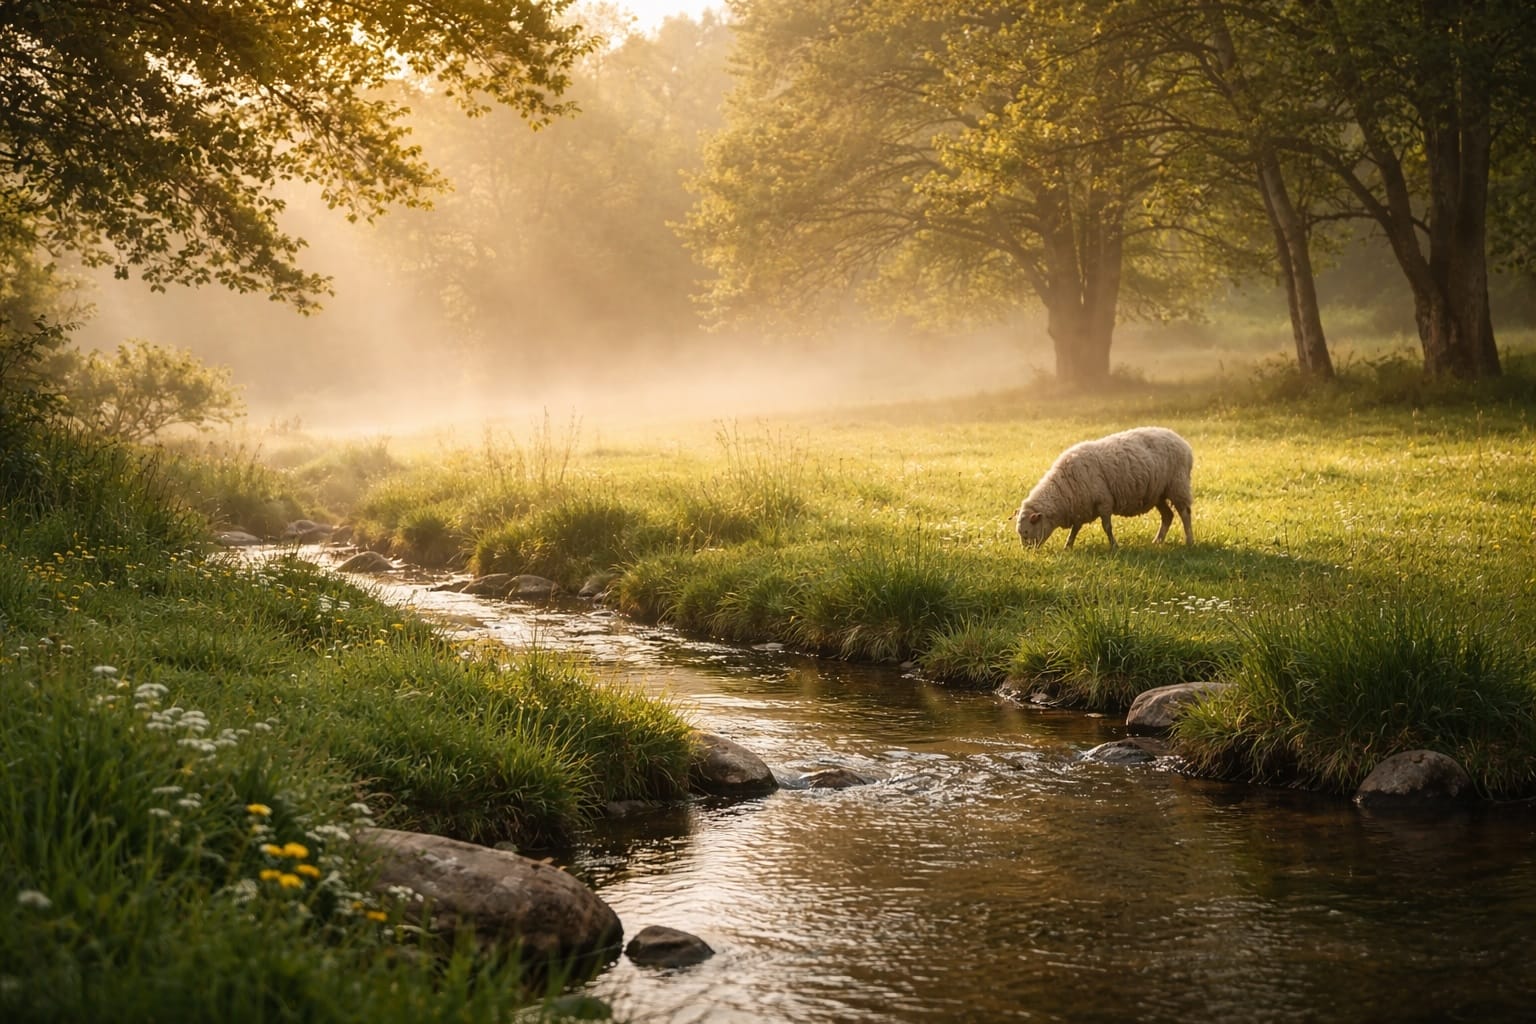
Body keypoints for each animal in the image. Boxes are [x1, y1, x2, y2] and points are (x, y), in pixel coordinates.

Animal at [1014, 427, 1193, 550]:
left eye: (1026, 532)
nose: (1027, 552)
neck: (1063, 488)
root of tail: (1183, 443)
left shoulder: (1104, 501)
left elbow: (1107, 527)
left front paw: (1114, 546)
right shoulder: (1081, 507)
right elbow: (1075, 529)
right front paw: (1068, 546)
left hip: (1178, 485)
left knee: (1185, 513)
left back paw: (1189, 541)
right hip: (1158, 493)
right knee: (1168, 515)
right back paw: (1158, 541)